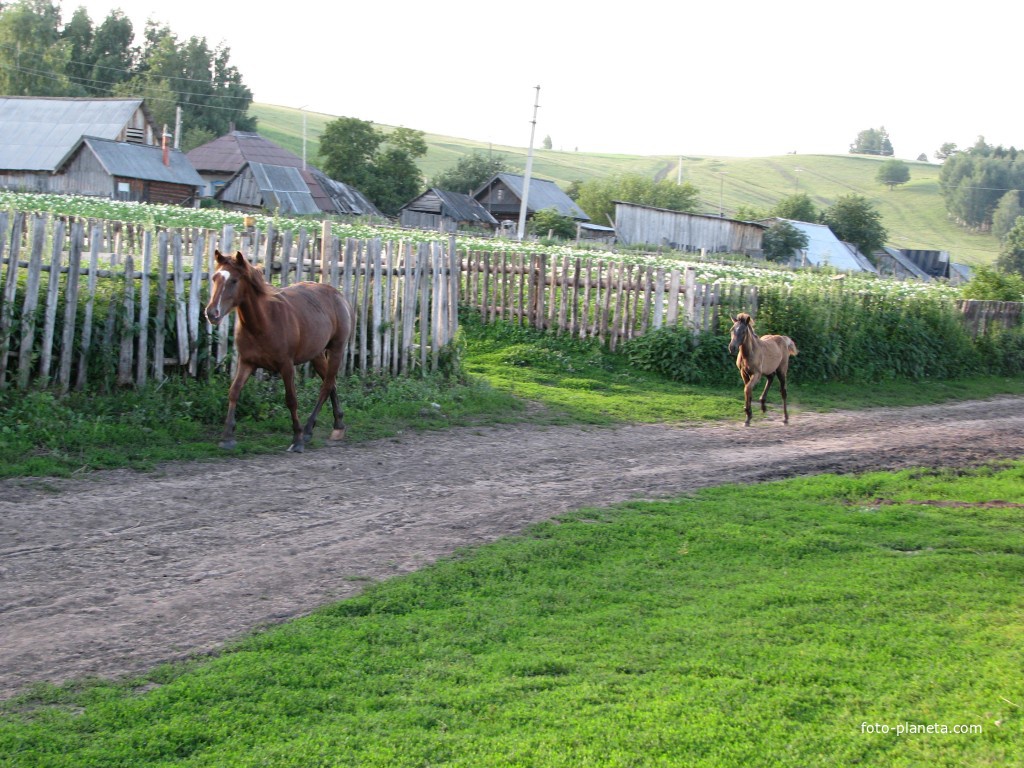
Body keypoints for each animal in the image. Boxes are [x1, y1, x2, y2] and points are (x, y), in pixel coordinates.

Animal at [203, 249, 356, 454]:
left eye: (234, 280)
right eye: (214, 278)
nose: (212, 313)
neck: (263, 322)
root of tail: (338, 295)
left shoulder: (286, 365)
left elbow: (291, 399)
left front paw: (297, 439)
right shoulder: (247, 362)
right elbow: (234, 391)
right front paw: (227, 437)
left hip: (336, 349)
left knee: (326, 385)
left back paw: (309, 430)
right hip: (316, 355)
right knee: (331, 383)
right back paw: (338, 425)